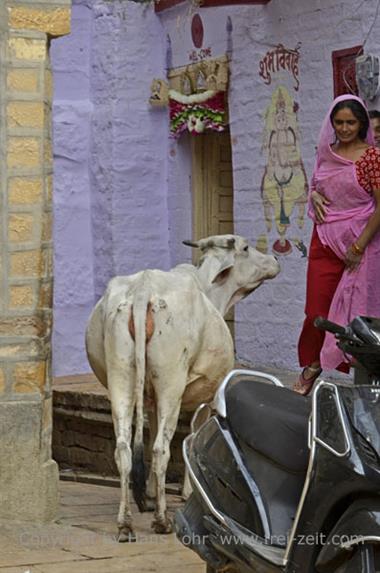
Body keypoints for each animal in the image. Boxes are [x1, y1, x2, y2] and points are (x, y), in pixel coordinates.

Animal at [85, 235, 280, 540]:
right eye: (246, 248)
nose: (274, 260)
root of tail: (143, 290)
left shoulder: (152, 398)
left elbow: (153, 429)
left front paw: (151, 492)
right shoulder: (207, 395)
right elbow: (193, 434)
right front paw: (189, 491)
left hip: (121, 380)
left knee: (125, 448)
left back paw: (126, 522)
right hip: (170, 384)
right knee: (160, 449)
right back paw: (161, 520)